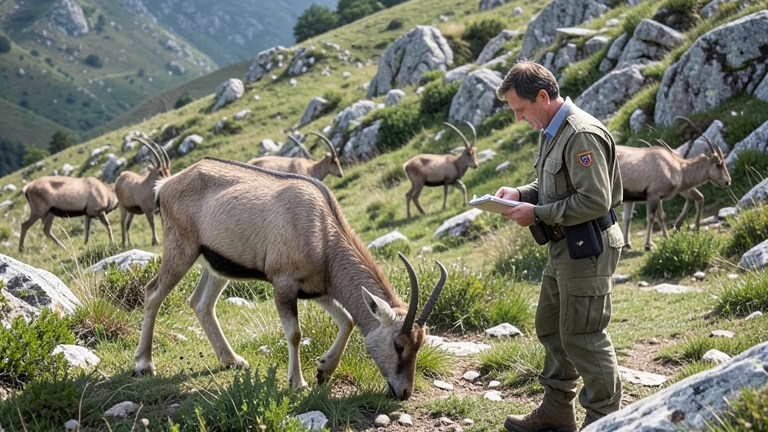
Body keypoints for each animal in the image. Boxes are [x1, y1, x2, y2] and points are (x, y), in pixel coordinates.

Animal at [133, 158, 446, 401]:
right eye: (398, 345)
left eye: (419, 344)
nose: (403, 392)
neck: (321, 229)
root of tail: (165, 186)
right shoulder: (284, 283)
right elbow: (295, 333)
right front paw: (298, 382)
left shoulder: (319, 289)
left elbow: (347, 320)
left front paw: (323, 369)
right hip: (181, 249)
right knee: (153, 292)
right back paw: (144, 364)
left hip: (216, 265)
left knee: (201, 302)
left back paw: (232, 361)